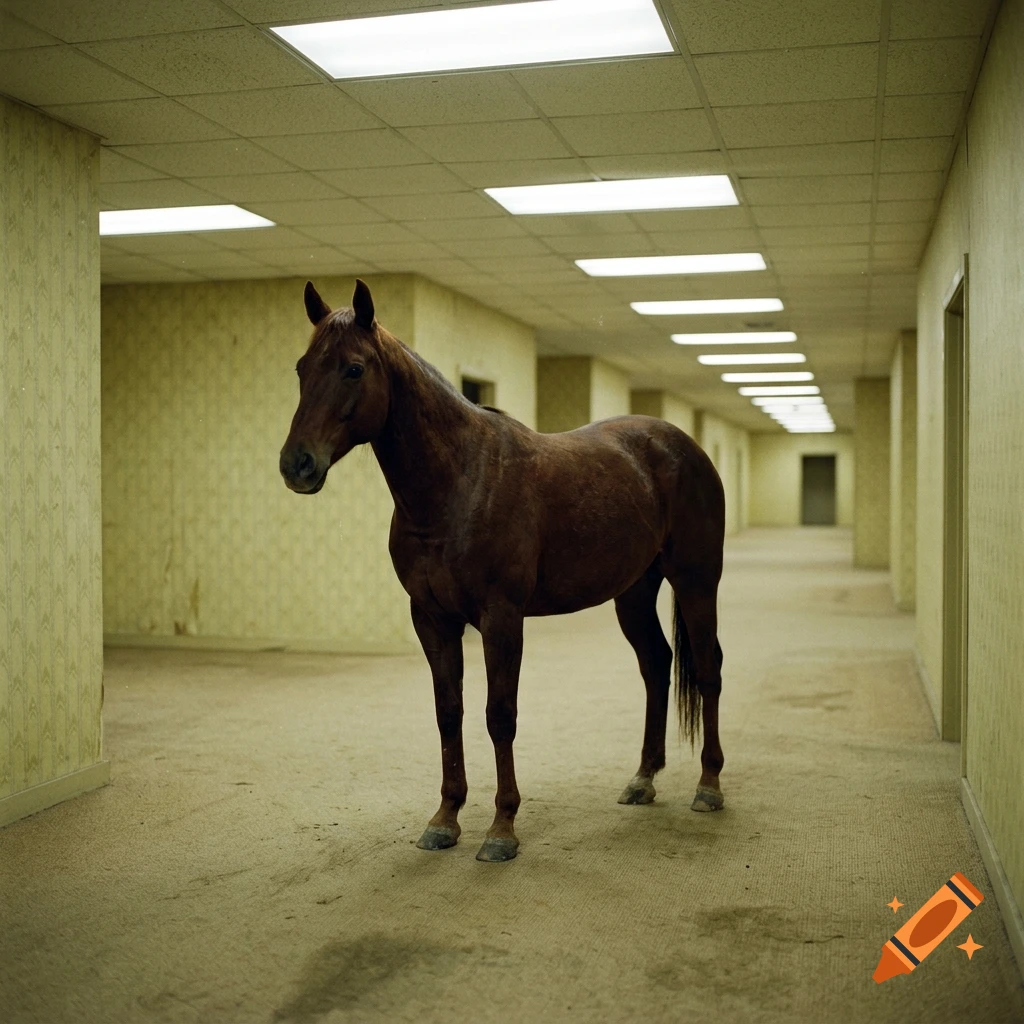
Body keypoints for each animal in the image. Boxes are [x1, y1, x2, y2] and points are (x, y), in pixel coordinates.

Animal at [280, 280, 726, 863]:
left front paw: (501, 829)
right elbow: (449, 712)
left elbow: (499, 714)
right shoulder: (432, 618)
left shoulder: (501, 617)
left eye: (354, 368)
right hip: (632, 592)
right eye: (301, 367)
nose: (297, 465)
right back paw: (642, 779)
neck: (458, 484)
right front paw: (444, 819)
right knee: (656, 665)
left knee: (709, 667)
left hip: (697, 580)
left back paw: (709, 786)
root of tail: (682, 446)